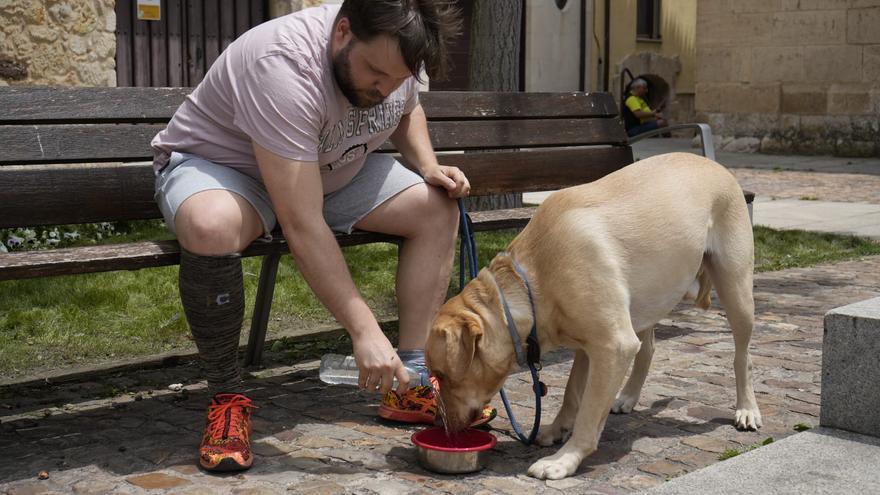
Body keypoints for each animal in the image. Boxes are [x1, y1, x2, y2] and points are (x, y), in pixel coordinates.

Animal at [426, 154, 764, 480]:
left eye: (443, 375)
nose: (444, 426)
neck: (531, 282)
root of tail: (716, 165)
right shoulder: (590, 345)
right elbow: (572, 392)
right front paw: (557, 428)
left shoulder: (613, 345)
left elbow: (588, 412)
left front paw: (564, 460)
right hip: (649, 298)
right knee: (648, 349)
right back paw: (627, 396)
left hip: (735, 290)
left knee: (743, 356)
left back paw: (746, 409)